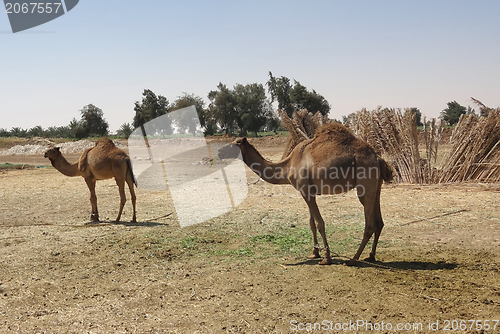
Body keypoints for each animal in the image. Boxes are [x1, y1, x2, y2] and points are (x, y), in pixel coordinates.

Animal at [217, 122, 392, 266]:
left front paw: (326, 258)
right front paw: (314, 253)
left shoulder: (306, 191)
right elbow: (311, 223)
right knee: (379, 221)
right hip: (376, 186)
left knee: (370, 224)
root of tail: (378, 158)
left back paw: (353, 259)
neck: (288, 164)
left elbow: (320, 223)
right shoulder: (307, 192)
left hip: (365, 185)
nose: (219, 151)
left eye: (234, 144)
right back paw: (371, 256)